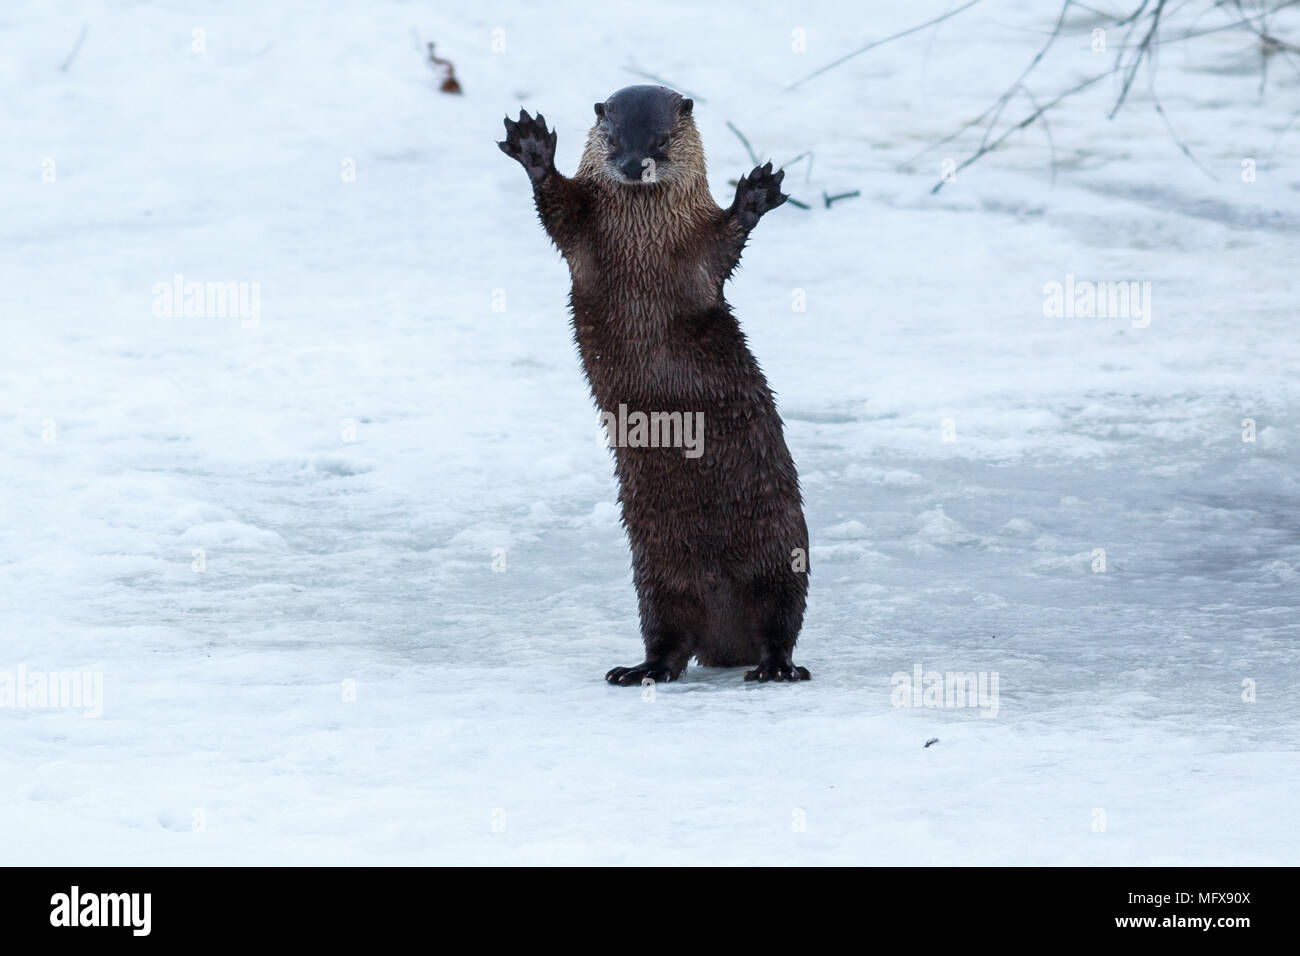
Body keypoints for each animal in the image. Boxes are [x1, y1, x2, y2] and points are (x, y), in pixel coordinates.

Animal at [501, 85, 806, 686]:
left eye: (661, 140)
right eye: (615, 138)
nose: (632, 164)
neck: (642, 241)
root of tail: (725, 634)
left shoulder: (700, 254)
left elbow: (726, 241)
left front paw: (757, 193)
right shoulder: (584, 236)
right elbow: (557, 207)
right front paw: (532, 148)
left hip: (781, 549)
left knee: (781, 620)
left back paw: (776, 668)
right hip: (654, 574)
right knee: (669, 635)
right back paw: (638, 670)